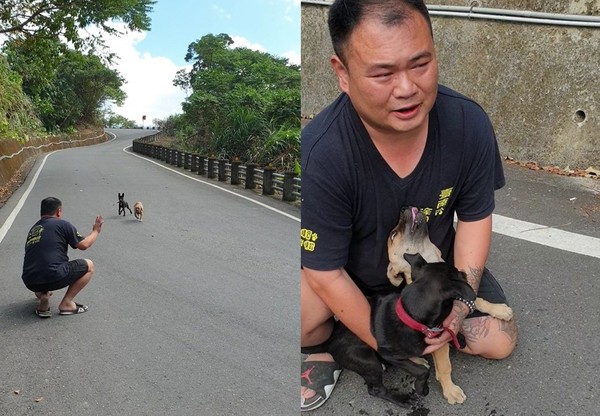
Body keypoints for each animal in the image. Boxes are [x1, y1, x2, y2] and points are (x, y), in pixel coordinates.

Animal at [302, 252, 476, 408]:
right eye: (459, 275)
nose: (464, 272)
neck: (410, 314)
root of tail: (329, 341)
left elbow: (443, 364)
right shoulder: (389, 354)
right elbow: (421, 371)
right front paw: (422, 388)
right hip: (369, 362)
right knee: (376, 390)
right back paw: (403, 399)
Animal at [386, 206, 512, 404]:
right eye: (393, 234)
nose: (405, 207)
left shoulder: (462, 291)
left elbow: (477, 300)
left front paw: (499, 310)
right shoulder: (438, 338)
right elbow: (445, 366)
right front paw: (450, 390)